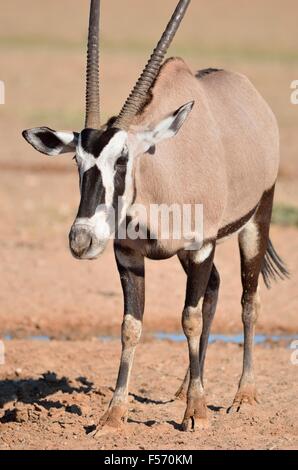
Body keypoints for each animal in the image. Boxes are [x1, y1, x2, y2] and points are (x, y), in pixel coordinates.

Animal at [22, 0, 288, 432]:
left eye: (122, 159)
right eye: (77, 161)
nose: (82, 239)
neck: (159, 174)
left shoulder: (201, 245)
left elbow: (189, 318)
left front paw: (196, 414)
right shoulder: (129, 254)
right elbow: (131, 326)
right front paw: (113, 415)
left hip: (255, 219)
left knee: (248, 301)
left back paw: (242, 396)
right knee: (214, 288)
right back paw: (187, 387)